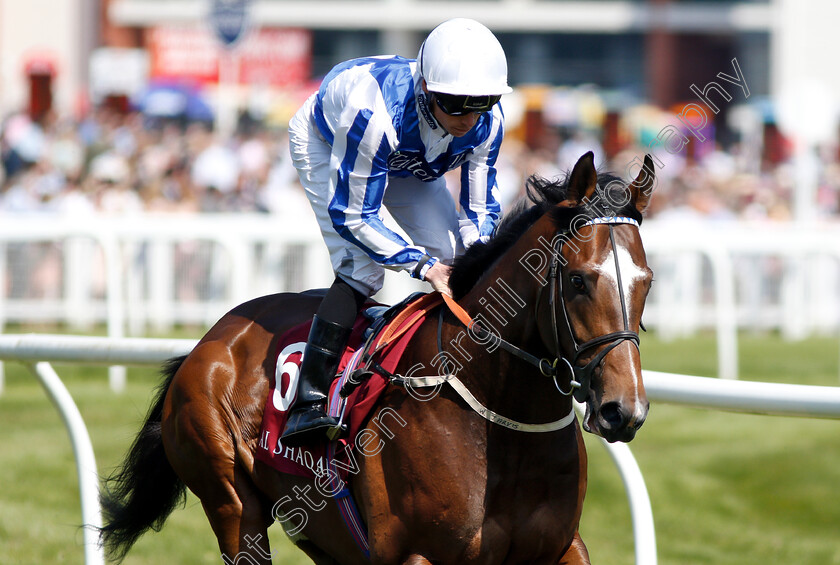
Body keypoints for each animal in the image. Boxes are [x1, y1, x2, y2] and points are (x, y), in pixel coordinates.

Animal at [100, 151, 656, 564]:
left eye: (647, 280)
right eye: (579, 280)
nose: (622, 410)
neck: (502, 421)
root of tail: (213, 339)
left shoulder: (561, 547)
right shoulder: (415, 554)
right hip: (233, 504)